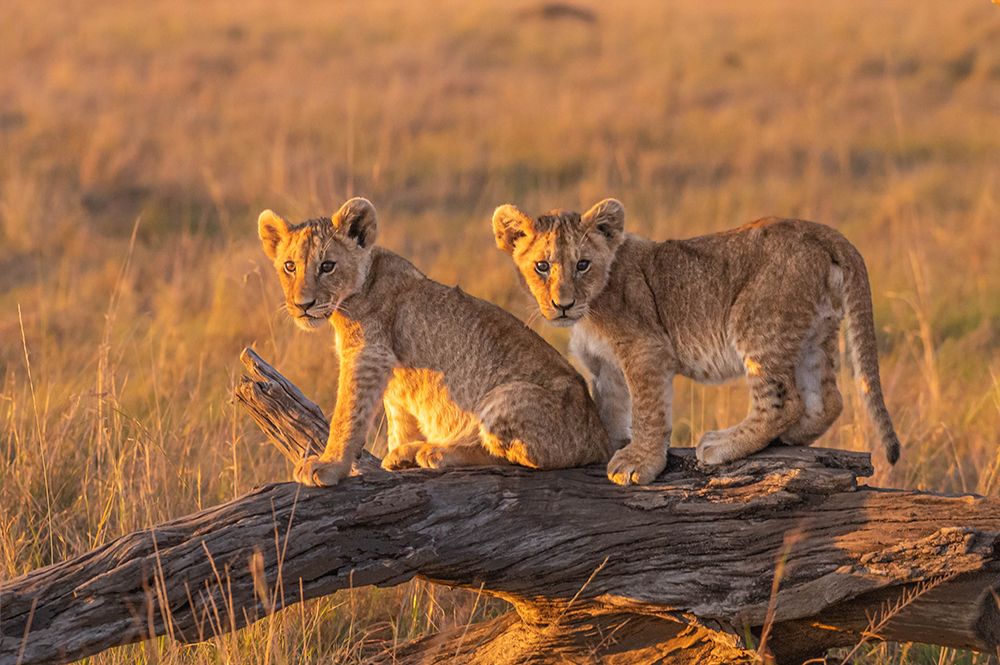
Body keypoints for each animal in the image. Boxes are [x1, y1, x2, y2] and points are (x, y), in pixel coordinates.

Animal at [258, 197, 611, 486]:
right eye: (289, 266)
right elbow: (399, 419)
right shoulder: (394, 379)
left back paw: (436, 452)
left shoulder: (366, 355)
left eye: (327, 266)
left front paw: (330, 465)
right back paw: (410, 453)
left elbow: (348, 413)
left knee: (519, 458)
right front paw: (397, 451)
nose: (303, 305)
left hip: (504, 396)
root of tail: (601, 439)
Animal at [492, 198, 901, 486]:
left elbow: (648, 411)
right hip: (815, 334)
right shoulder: (604, 367)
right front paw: (602, 445)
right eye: (542, 266)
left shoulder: (646, 350)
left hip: (756, 322)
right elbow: (610, 410)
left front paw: (639, 464)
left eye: (582, 264)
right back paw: (789, 438)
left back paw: (723, 445)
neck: (591, 309)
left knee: (783, 402)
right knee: (829, 400)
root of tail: (820, 229)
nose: (563, 304)